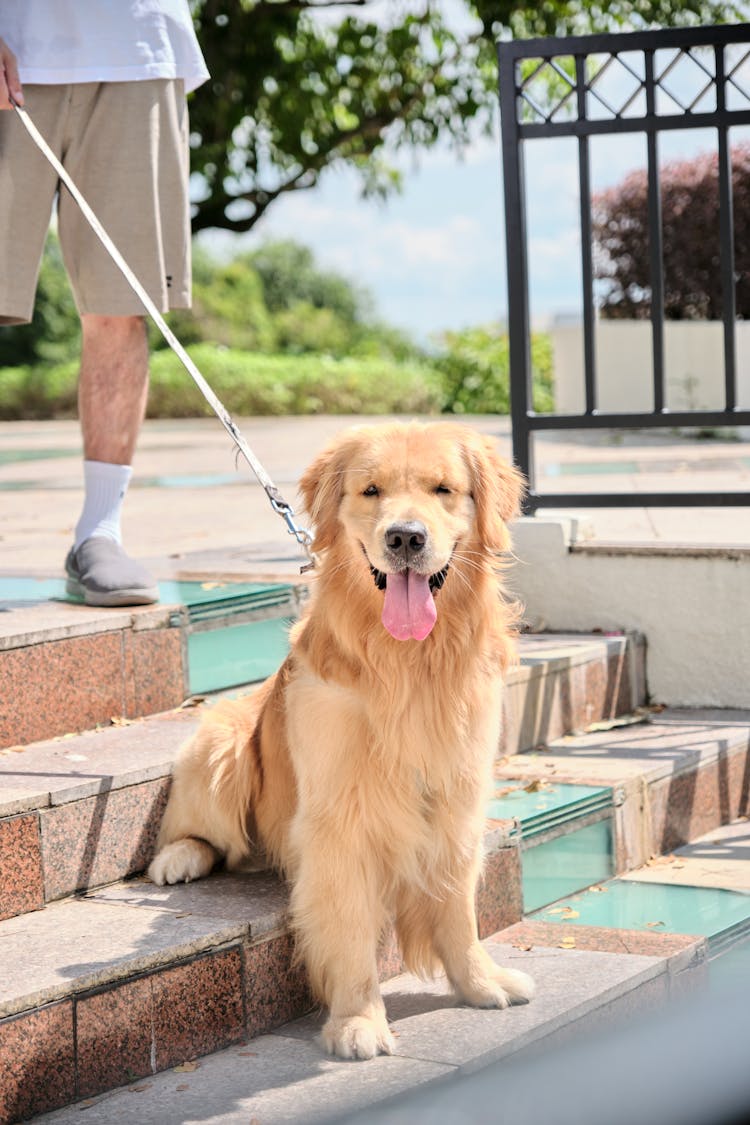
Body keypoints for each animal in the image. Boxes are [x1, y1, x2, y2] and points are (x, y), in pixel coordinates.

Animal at [148, 423, 532, 1062]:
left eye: (443, 489)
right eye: (371, 490)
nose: (405, 537)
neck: (408, 663)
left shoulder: (457, 798)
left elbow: (459, 908)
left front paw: (480, 981)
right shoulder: (340, 819)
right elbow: (349, 926)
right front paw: (358, 1021)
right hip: (222, 742)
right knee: (200, 831)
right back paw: (178, 857)